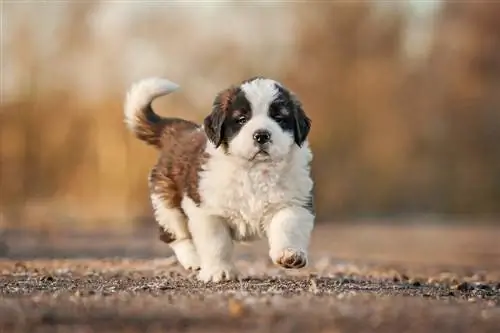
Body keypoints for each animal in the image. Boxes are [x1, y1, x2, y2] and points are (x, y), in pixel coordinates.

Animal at [124, 76, 312, 282]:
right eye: (241, 119)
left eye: (279, 118)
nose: (262, 135)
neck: (255, 170)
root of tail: (177, 131)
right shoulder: (207, 210)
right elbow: (216, 243)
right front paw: (218, 271)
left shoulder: (294, 202)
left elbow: (287, 225)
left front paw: (289, 254)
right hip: (166, 202)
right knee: (174, 234)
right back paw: (193, 259)